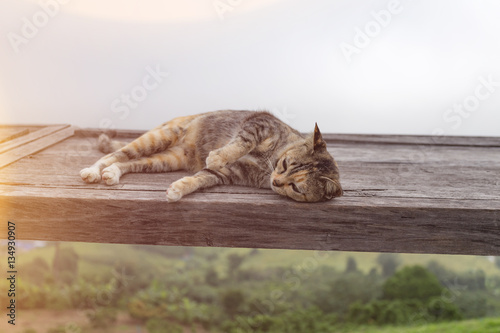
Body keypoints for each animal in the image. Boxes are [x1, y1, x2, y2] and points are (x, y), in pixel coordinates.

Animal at [80, 110, 342, 201]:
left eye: (297, 188)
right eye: (286, 163)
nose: (276, 182)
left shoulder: (228, 174)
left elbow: (200, 179)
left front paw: (177, 190)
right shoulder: (259, 123)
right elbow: (242, 143)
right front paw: (217, 155)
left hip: (163, 160)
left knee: (129, 163)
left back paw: (112, 174)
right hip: (156, 138)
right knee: (115, 154)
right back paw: (93, 171)